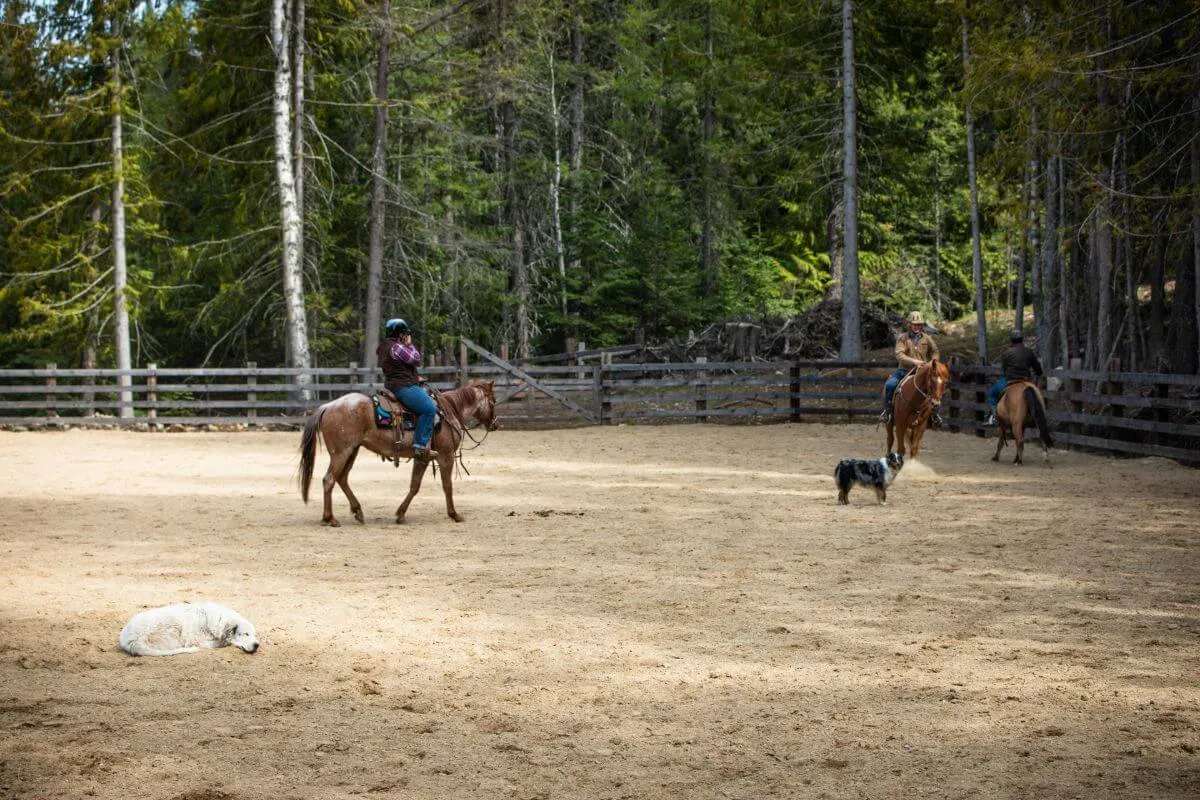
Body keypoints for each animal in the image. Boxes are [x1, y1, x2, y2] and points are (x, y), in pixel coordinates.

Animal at [298, 381, 499, 526]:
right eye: (493, 401)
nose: (496, 424)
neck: (448, 411)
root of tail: (327, 406)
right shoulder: (445, 455)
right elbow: (447, 486)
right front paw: (454, 514)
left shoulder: (423, 457)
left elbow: (414, 486)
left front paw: (401, 514)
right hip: (341, 452)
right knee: (329, 479)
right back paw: (329, 518)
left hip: (352, 451)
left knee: (342, 478)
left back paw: (358, 511)